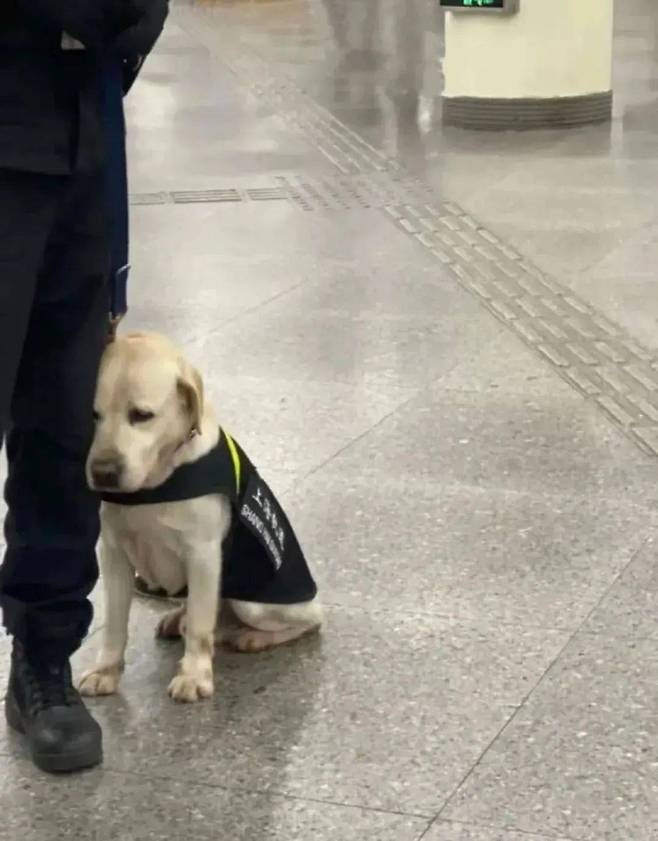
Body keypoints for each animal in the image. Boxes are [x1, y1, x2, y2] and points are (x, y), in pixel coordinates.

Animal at [79, 332, 322, 703]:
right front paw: (106, 671)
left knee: (307, 620)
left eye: (142, 415)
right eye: (94, 415)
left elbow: (199, 625)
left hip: (254, 600)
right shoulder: (114, 553)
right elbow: (116, 623)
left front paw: (194, 675)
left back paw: (253, 636)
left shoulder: (203, 554)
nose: (103, 472)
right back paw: (178, 618)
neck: (158, 481)